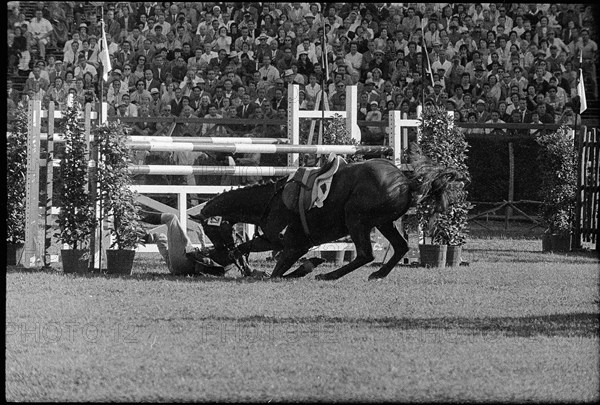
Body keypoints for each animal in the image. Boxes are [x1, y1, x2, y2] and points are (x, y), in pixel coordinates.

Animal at [195, 147, 466, 280]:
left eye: (209, 229)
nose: (216, 250)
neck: (271, 200)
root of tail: (405, 182)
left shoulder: (286, 242)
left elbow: (273, 269)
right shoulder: (286, 243)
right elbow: (255, 255)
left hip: (356, 219)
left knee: (365, 254)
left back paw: (330, 275)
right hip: (384, 222)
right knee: (400, 247)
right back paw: (378, 273)